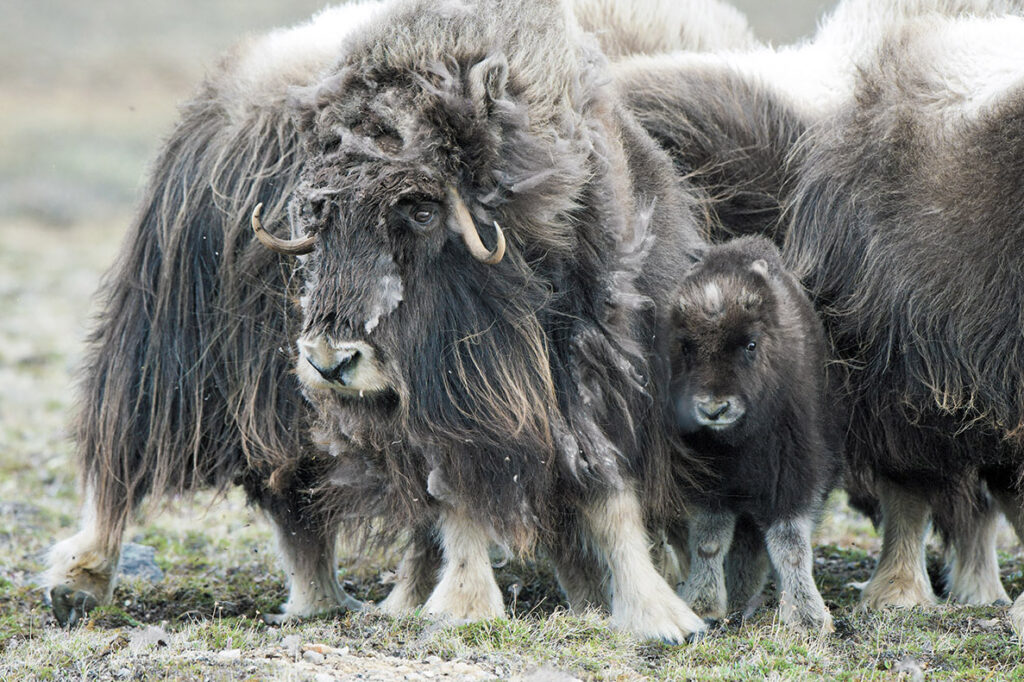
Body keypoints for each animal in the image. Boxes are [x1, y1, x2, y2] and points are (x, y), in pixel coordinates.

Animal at [663, 236, 839, 630]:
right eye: (686, 346)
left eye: (751, 344)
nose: (713, 409)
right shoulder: (707, 483)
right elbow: (709, 540)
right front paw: (703, 605)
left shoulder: (791, 474)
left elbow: (790, 544)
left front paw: (808, 618)